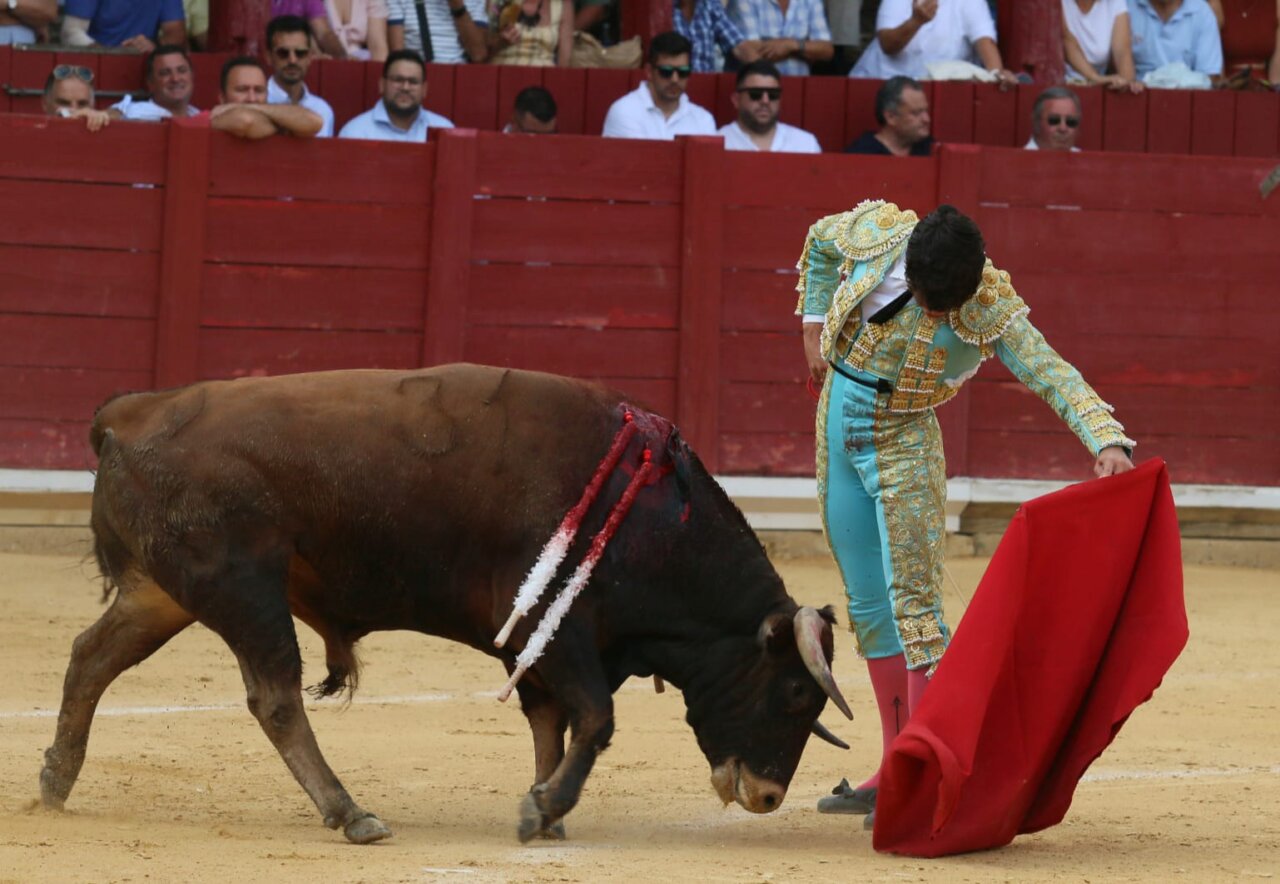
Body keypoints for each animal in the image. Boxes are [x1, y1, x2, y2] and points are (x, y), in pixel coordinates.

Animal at [41, 364, 852, 844]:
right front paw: (545, 808)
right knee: (275, 698)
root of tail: (132, 411)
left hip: (161, 592)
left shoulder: (542, 645)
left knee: (90, 656)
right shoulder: (559, 630)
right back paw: (350, 813)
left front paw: (544, 808)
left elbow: (552, 720)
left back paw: (55, 779)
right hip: (245, 588)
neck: (653, 519)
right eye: (791, 694)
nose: (770, 796)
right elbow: (594, 717)